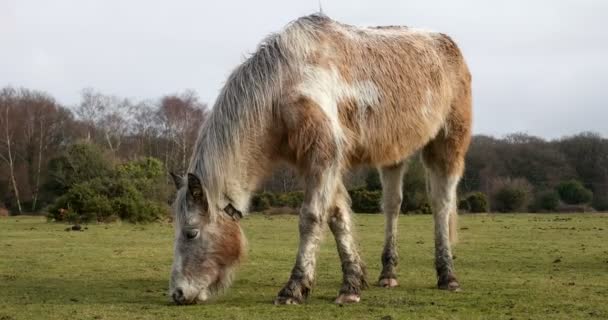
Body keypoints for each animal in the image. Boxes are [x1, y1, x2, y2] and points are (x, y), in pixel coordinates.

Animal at [169, 13, 472, 304]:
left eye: (191, 232)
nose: (177, 293)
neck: (285, 83)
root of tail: (448, 44)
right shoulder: (319, 163)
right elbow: (337, 218)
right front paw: (352, 283)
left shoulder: (323, 159)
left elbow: (311, 218)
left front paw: (294, 287)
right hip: (393, 157)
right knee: (392, 206)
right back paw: (388, 274)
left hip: (447, 145)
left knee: (441, 204)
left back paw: (448, 276)